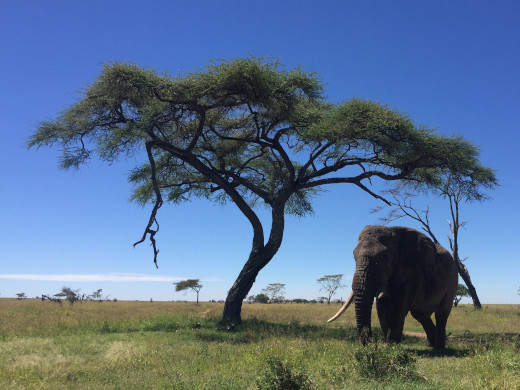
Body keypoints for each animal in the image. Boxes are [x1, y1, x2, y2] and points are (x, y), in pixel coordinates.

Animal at [328, 224, 458, 348]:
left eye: (385, 256)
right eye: (354, 256)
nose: (374, 344)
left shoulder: (414, 272)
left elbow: (399, 307)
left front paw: (391, 346)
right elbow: (382, 307)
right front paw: (388, 346)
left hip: (452, 280)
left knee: (441, 314)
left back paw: (439, 347)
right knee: (419, 314)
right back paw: (431, 344)